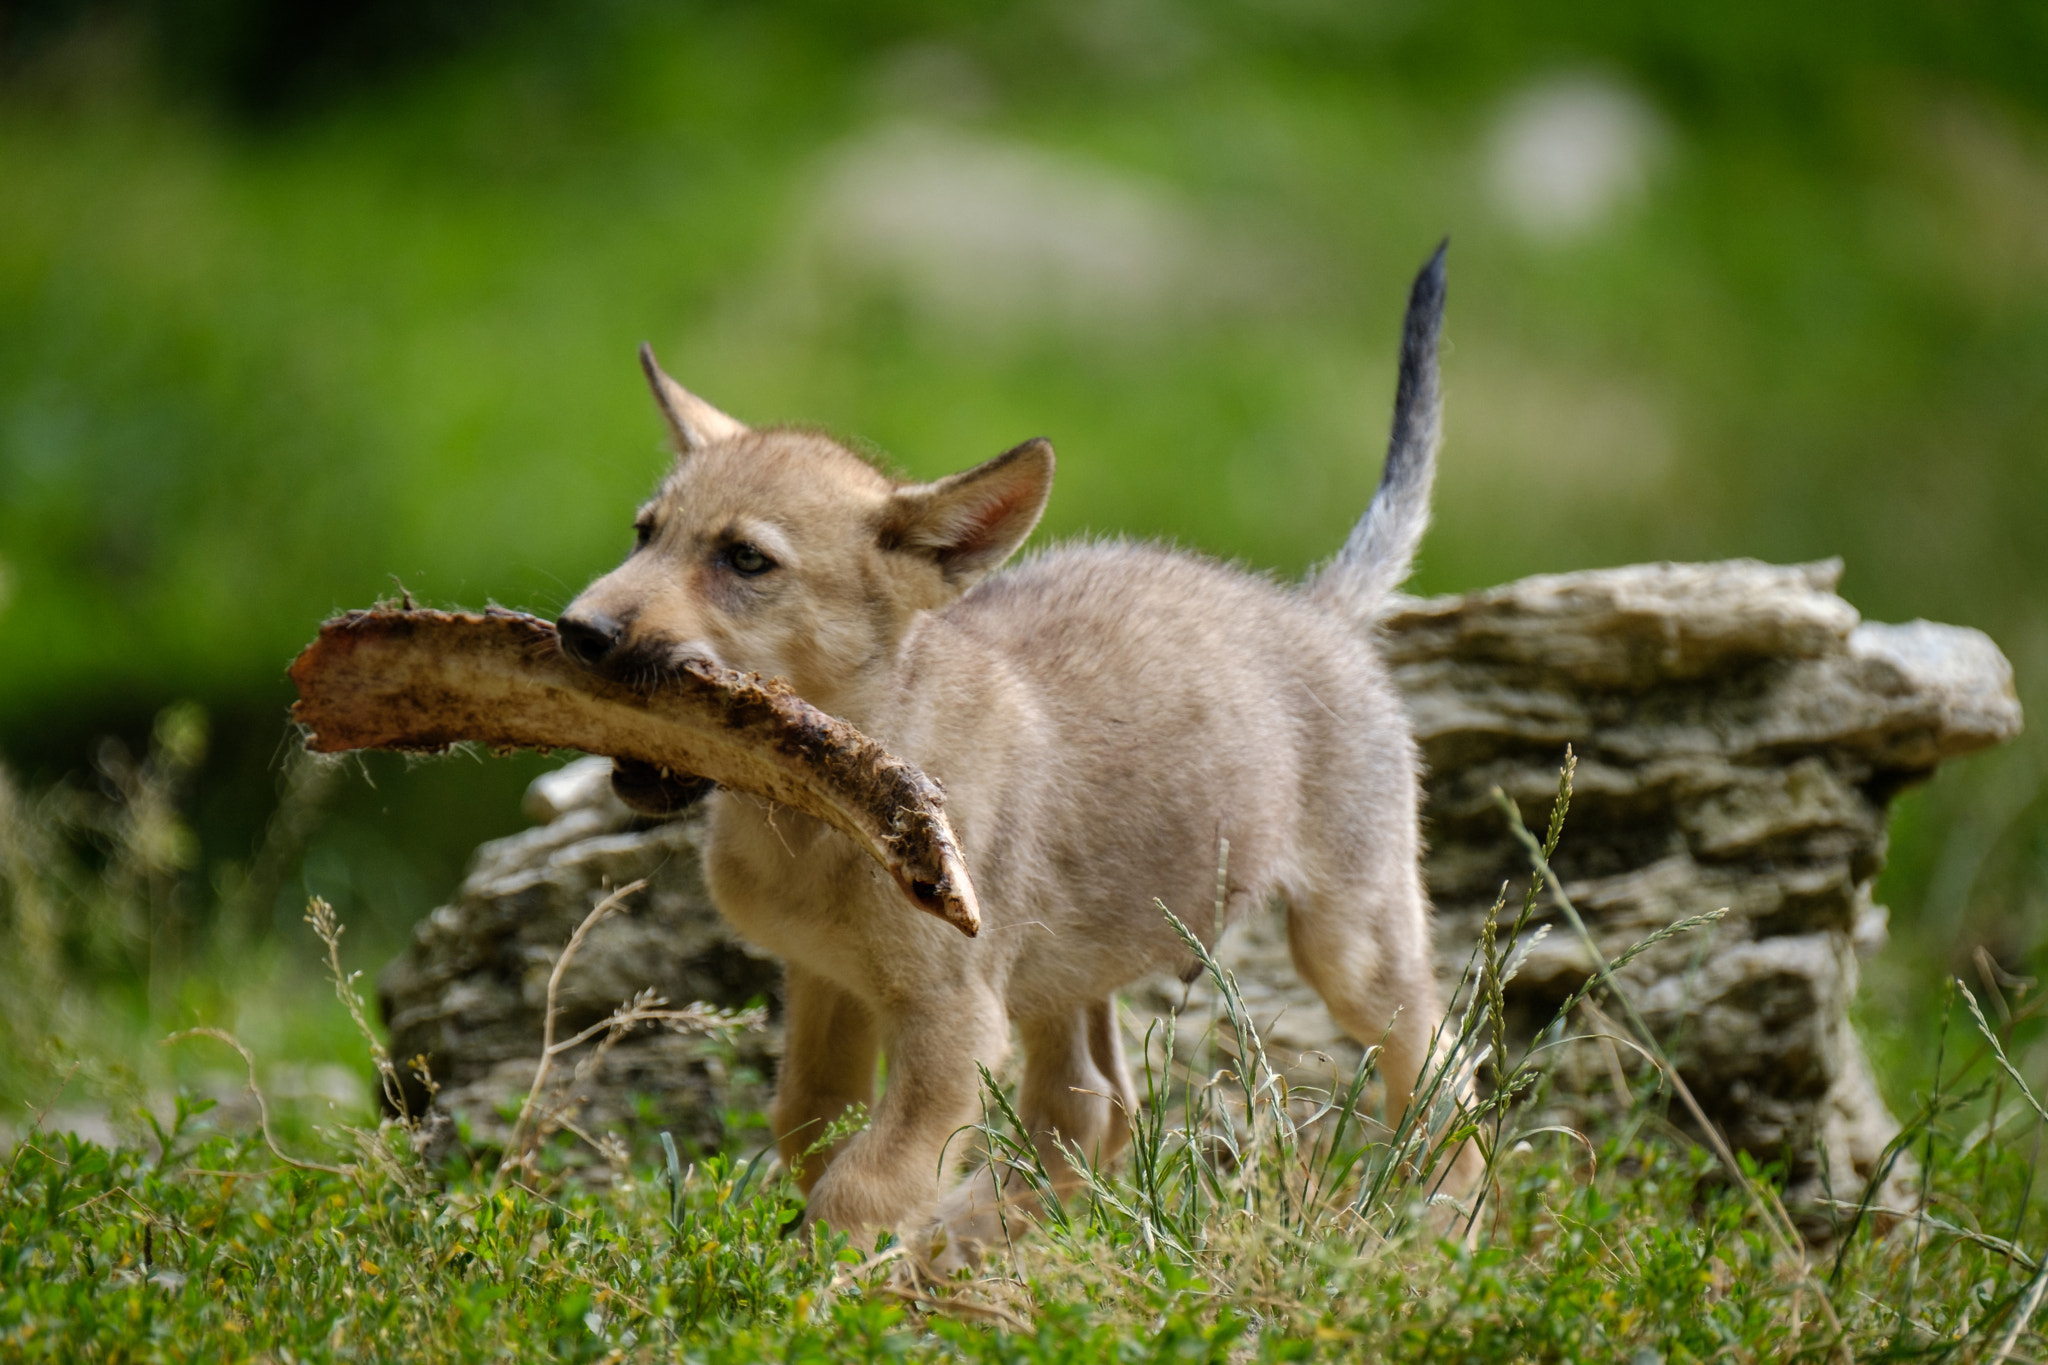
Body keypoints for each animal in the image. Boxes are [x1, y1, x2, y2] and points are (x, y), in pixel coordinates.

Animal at [557, 244, 1467, 1255]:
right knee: (1093, 1108)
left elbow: (860, 1186)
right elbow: (810, 1130)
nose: (578, 632)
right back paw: (996, 1242)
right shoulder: (828, 984)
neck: (814, 815)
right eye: (645, 534)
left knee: (1444, 1068)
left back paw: (1441, 1227)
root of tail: (1319, 608)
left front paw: (818, 1282)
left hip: (1352, 941)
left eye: (746, 560)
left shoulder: (953, 1020)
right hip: (1067, 968)